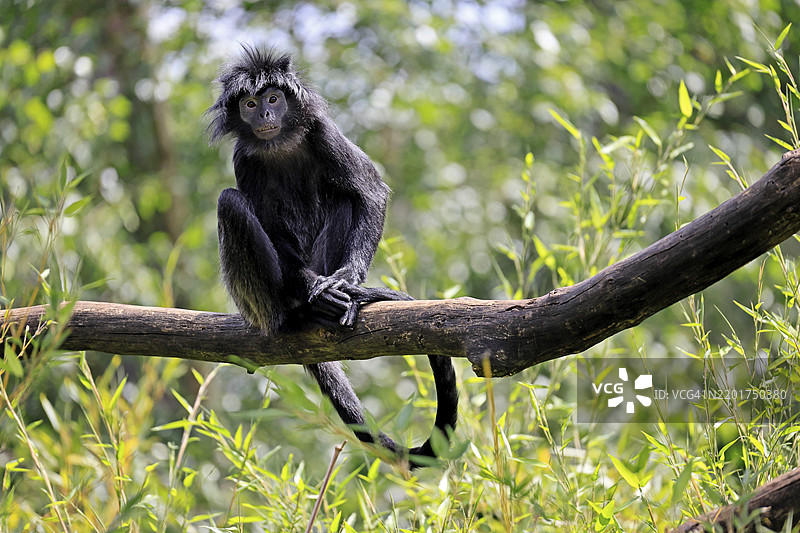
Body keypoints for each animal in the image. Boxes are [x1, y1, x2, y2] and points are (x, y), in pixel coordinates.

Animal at [207, 47, 458, 468]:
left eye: (273, 99)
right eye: (250, 105)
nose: (266, 117)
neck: (281, 145)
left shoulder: (322, 132)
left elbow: (371, 193)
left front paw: (346, 283)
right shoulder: (244, 158)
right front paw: (320, 292)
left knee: (344, 196)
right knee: (231, 203)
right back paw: (298, 313)